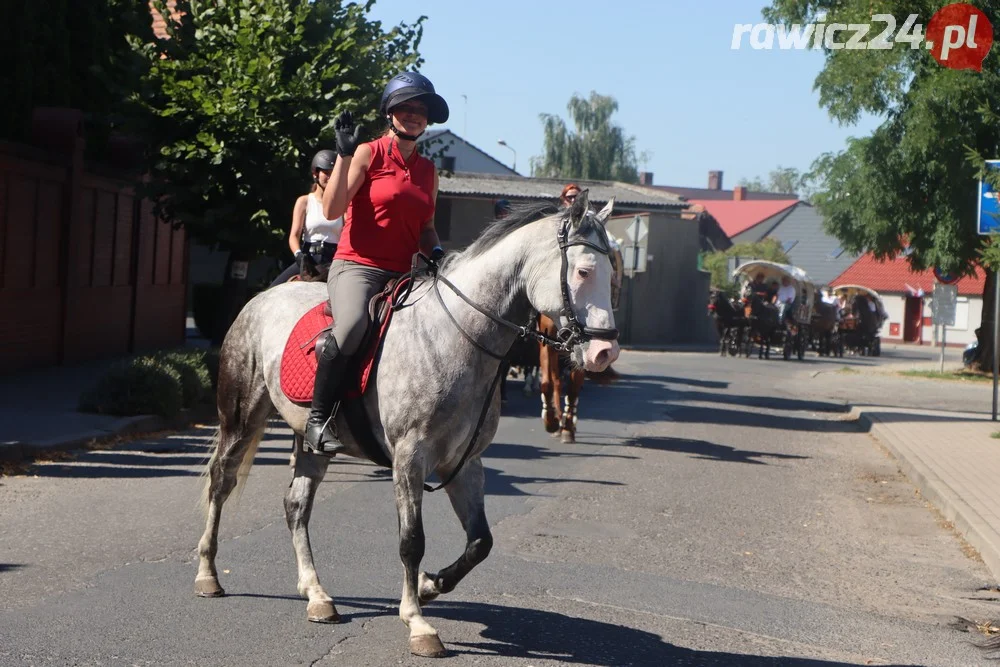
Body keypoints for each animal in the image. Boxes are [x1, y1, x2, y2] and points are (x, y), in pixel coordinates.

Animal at [193, 190, 616, 660]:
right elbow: (412, 539)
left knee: (296, 505)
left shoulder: (464, 463)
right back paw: (208, 574)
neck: (456, 337)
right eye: (583, 270)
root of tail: (261, 298)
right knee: (221, 482)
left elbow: (480, 542)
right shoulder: (410, 458)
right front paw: (417, 622)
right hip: (241, 417)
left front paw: (431, 585)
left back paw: (317, 595)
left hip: (311, 441)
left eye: (613, 272)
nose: (603, 353)